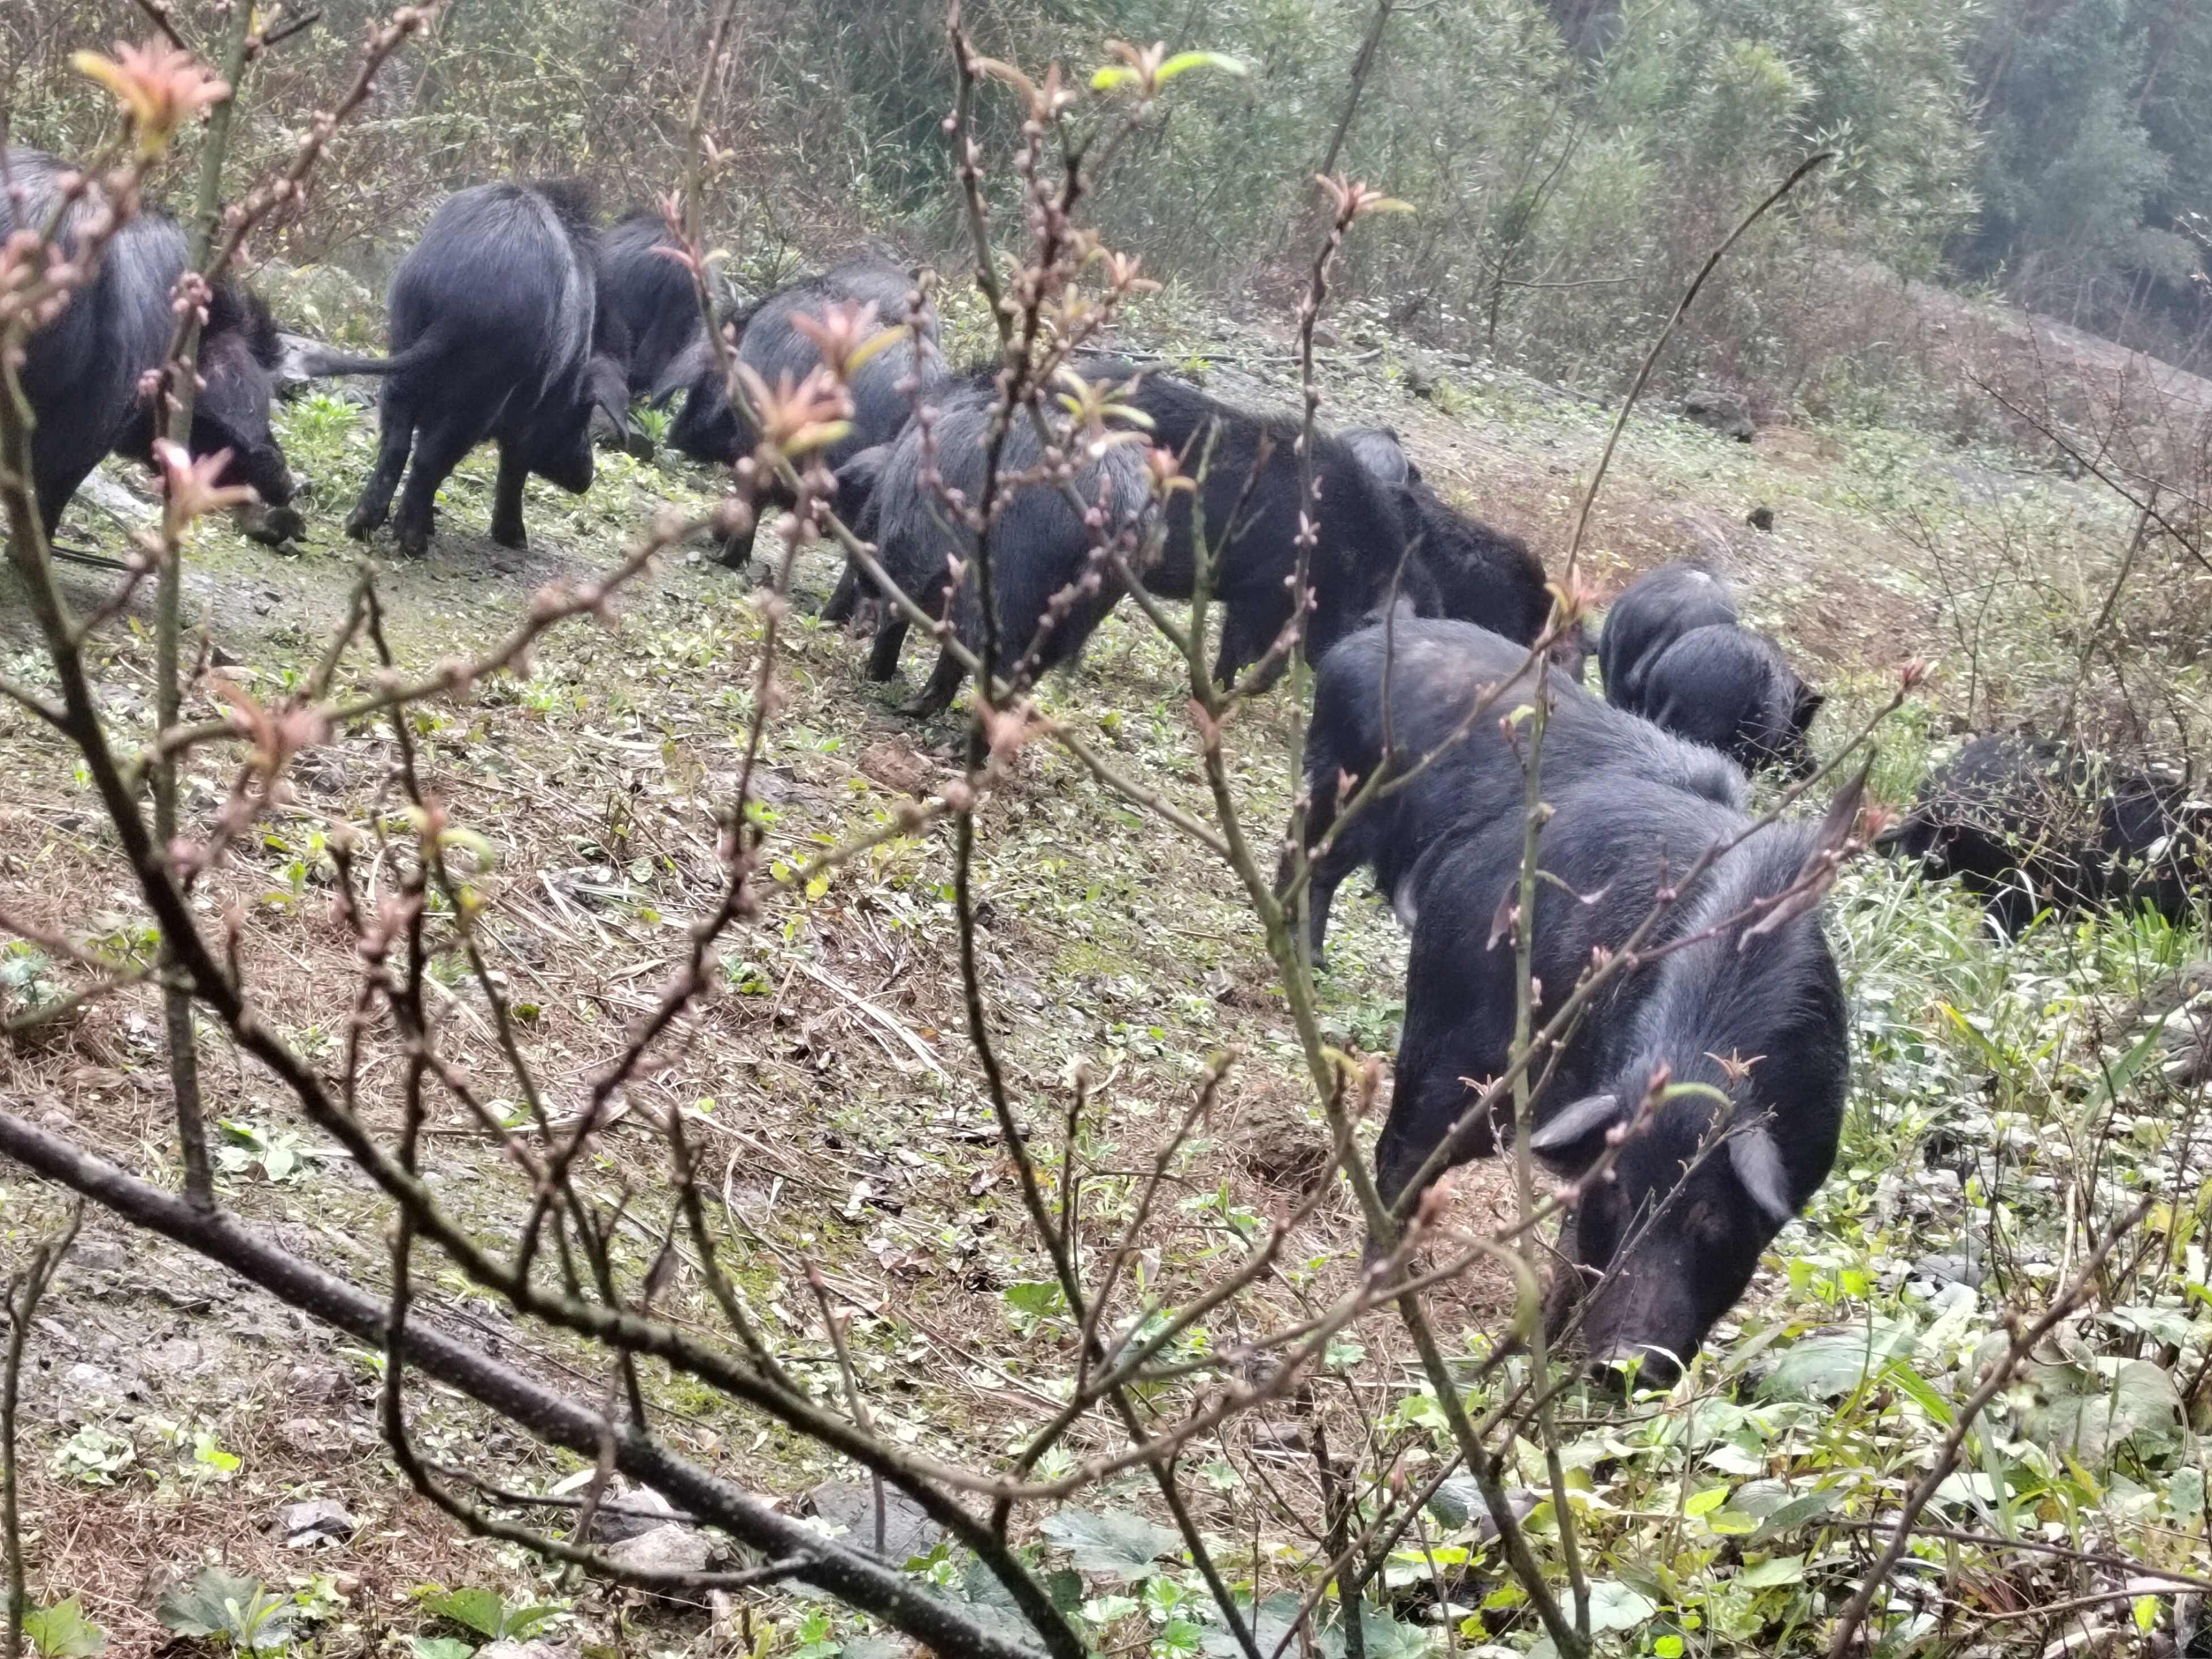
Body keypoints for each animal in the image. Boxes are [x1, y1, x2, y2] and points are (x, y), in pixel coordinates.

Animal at [1380, 779, 1849, 1389]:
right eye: (1620, 1193)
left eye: (1709, 1213)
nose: (1622, 1361)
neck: (1696, 1059)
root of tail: (1467, 849)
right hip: (1445, 1058)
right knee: (1397, 1157)